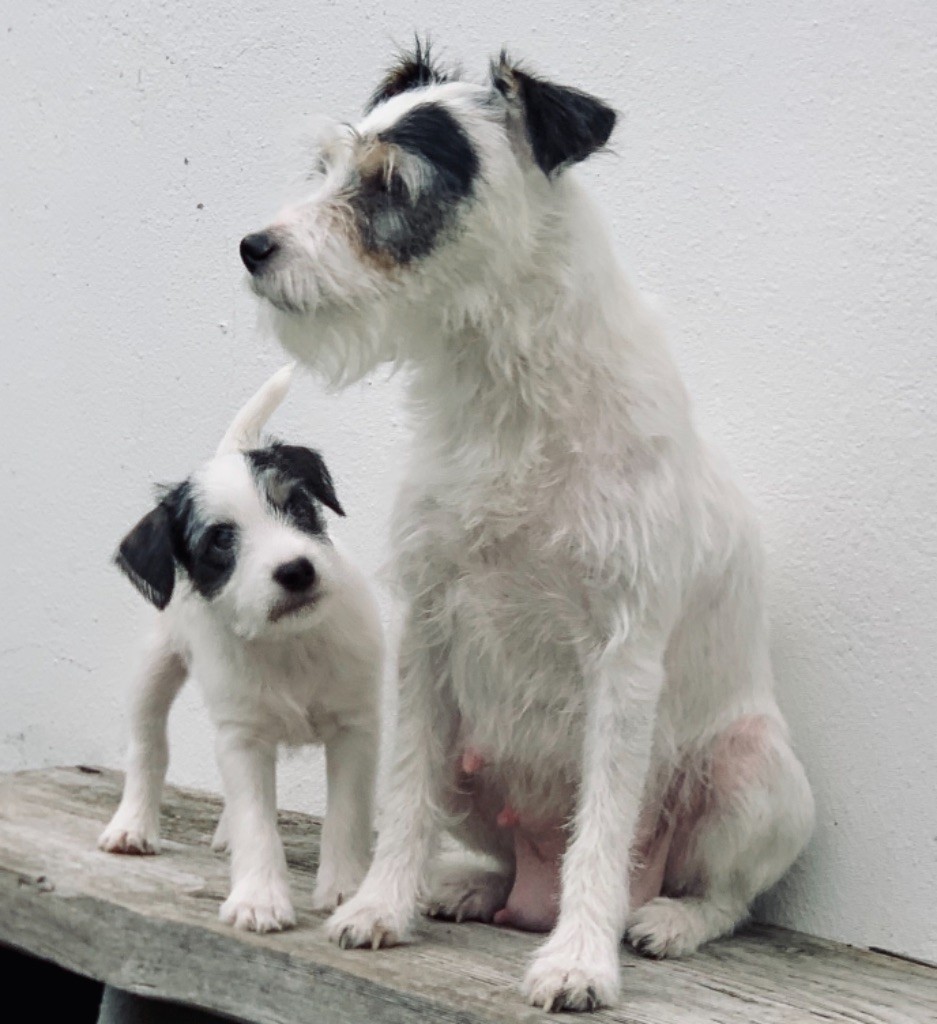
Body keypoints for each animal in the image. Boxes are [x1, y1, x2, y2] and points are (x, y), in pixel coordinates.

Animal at [100, 366, 382, 937]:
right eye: (219, 542)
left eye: (297, 505)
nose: (296, 570)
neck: (291, 643)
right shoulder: (241, 737)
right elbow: (257, 821)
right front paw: (259, 898)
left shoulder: (354, 728)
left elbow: (346, 813)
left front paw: (344, 888)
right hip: (153, 671)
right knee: (148, 749)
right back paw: (133, 825)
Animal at [239, 44, 815, 1011]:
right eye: (325, 167)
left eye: (390, 182)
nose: (251, 247)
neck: (504, 387)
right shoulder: (427, 630)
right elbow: (404, 796)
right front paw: (381, 904)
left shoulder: (623, 657)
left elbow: (604, 829)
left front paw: (580, 961)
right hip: (474, 763)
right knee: (493, 853)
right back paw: (469, 887)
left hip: (756, 775)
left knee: (725, 896)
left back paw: (663, 921)